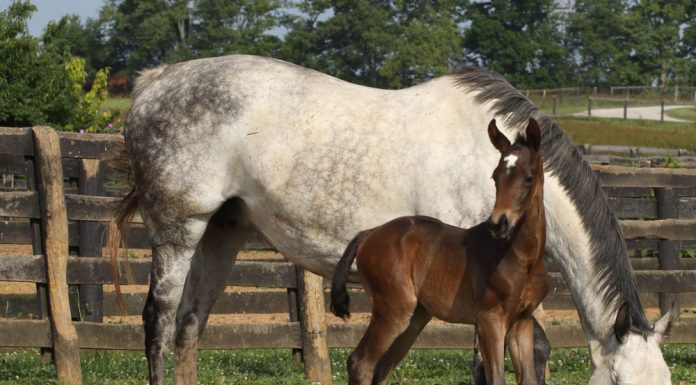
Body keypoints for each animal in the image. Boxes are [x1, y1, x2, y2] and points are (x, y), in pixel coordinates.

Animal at [332, 118, 548, 384]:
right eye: (495, 177)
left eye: (529, 178)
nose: (498, 224)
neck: (523, 257)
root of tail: (370, 233)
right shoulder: (490, 319)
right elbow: (497, 378)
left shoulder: (522, 322)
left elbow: (529, 379)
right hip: (393, 310)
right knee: (360, 363)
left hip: (415, 317)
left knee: (383, 367)